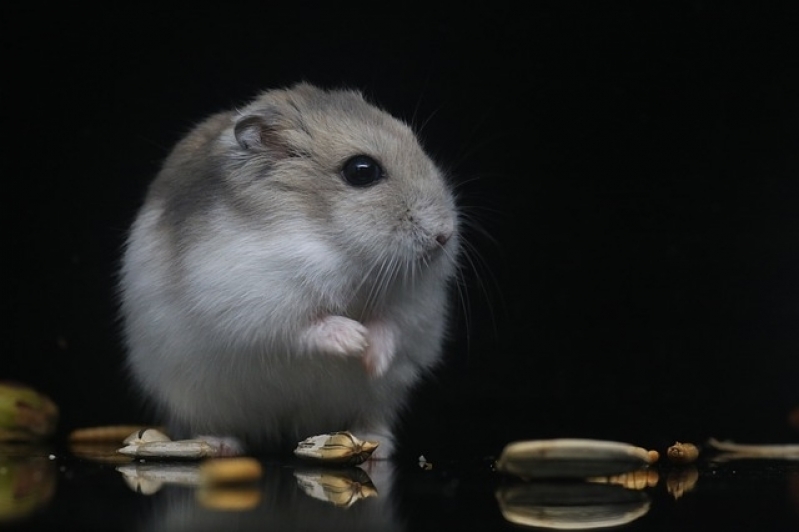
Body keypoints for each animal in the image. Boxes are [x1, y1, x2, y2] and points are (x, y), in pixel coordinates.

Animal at [115, 82, 460, 458]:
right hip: (193, 395)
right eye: (362, 170)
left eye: (416, 144)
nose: (444, 235)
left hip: (379, 398)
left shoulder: (416, 305)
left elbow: (393, 324)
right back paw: (219, 445)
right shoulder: (256, 303)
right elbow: (303, 327)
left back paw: (377, 445)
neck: (334, 242)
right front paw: (355, 339)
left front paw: (373, 358)